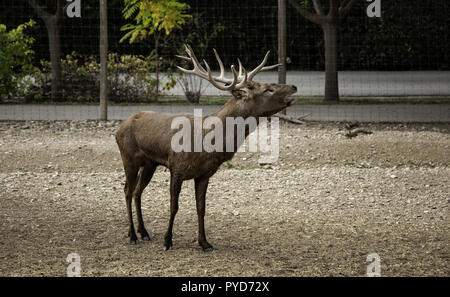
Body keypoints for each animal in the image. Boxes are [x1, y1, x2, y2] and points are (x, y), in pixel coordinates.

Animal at [116, 44, 298, 251]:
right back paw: (132, 235)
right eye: (268, 89)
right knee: (127, 191)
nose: (294, 87)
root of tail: (118, 128)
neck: (209, 142)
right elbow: (174, 206)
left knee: (137, 191)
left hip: (150, 164)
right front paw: (167, 241)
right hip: (128, 158)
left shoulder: (204, 174)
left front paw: (205, 243)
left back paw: (144, 232)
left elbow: (201, 208)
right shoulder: (177, 167)